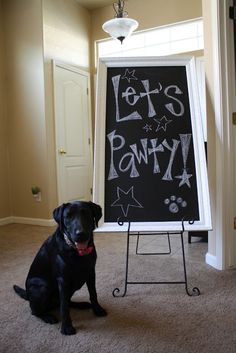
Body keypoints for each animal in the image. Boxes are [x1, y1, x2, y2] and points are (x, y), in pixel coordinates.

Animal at [13, 201, 107, 332]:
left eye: (87, 214)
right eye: (68, 216)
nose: (80, 234)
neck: (77, 252)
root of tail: (28, 295)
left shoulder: (91, 273)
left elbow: (93, 293)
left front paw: (97, 310)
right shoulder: (63, 280)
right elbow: (64, 307)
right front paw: (66, 327)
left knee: (64, 302)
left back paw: (80, 304)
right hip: (42, 287)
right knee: (35, 311)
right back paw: (47, 317)